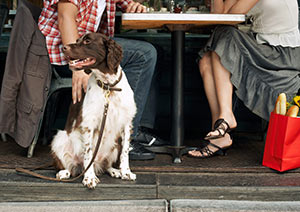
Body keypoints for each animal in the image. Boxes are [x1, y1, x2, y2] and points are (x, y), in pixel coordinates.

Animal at [51, 32, 137, 188]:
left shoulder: (127, 123)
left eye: (87, 41)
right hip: (59, 138)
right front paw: (89, 177)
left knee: (106, 164)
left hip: (115, 145)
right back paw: (64, 173)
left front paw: (126, 172)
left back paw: (115, 171)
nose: (64, 47)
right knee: (69, 166)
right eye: (77, 40)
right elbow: (88, 153)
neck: (109, 86)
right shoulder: (88, 124)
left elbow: (125, 152)